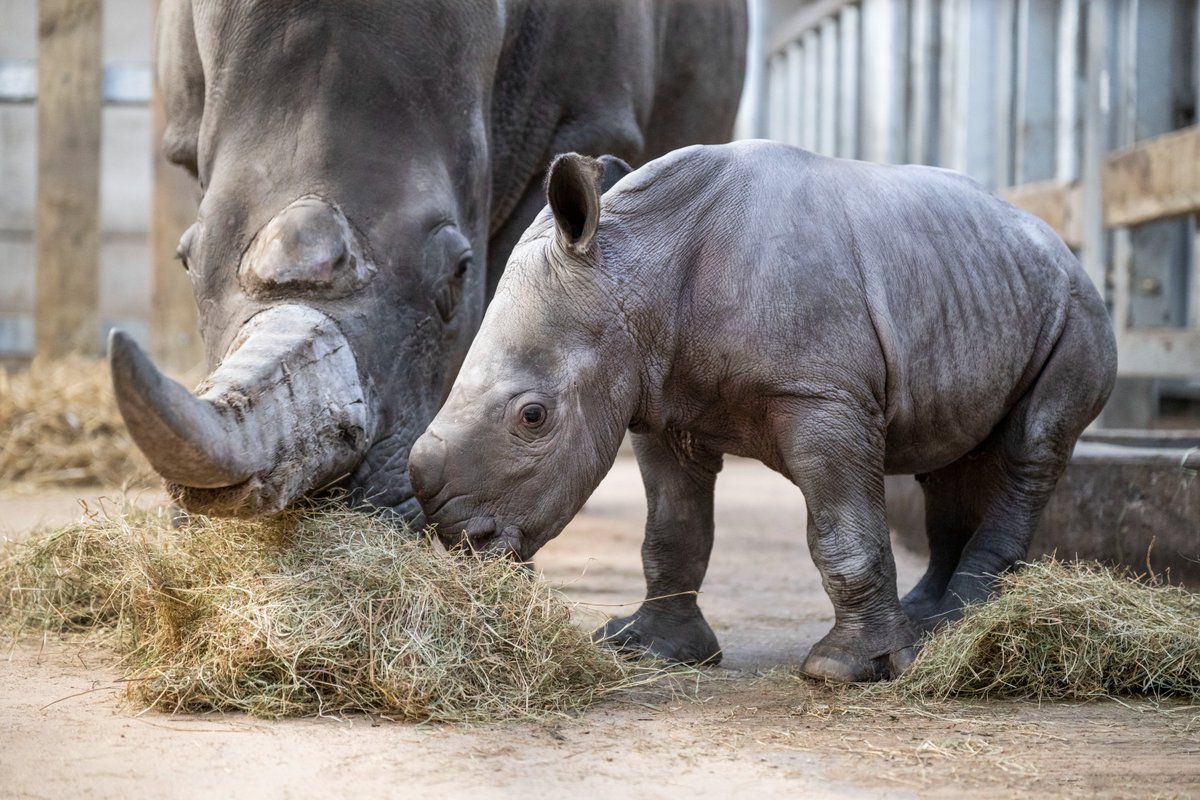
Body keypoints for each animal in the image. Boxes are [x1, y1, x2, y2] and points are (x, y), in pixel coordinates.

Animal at [407, 143, 1118, 682]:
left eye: (533, 417)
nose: (461, 539)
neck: (637, 269)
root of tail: (1061, 242)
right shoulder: (661, 403)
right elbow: (672, 531)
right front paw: (650, 649)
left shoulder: (822, 397)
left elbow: (844, 533)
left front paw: (848, 670)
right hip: (977, 284)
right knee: (945, 460)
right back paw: (928, 621)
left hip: (1077, 307)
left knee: (1030, 447)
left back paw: (958, 622)